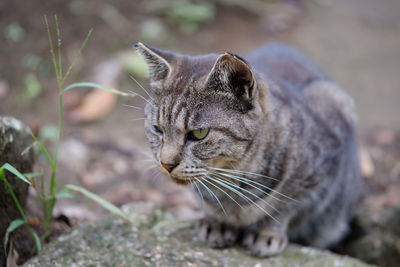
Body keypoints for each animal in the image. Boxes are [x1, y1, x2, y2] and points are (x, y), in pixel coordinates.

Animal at [134, 42, 362, 258]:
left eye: (199, 133)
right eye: (157, 129)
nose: (166, 164)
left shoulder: (313, 181)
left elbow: (283, 208)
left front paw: (266, 233)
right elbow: (209, 205)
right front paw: (216, 222)